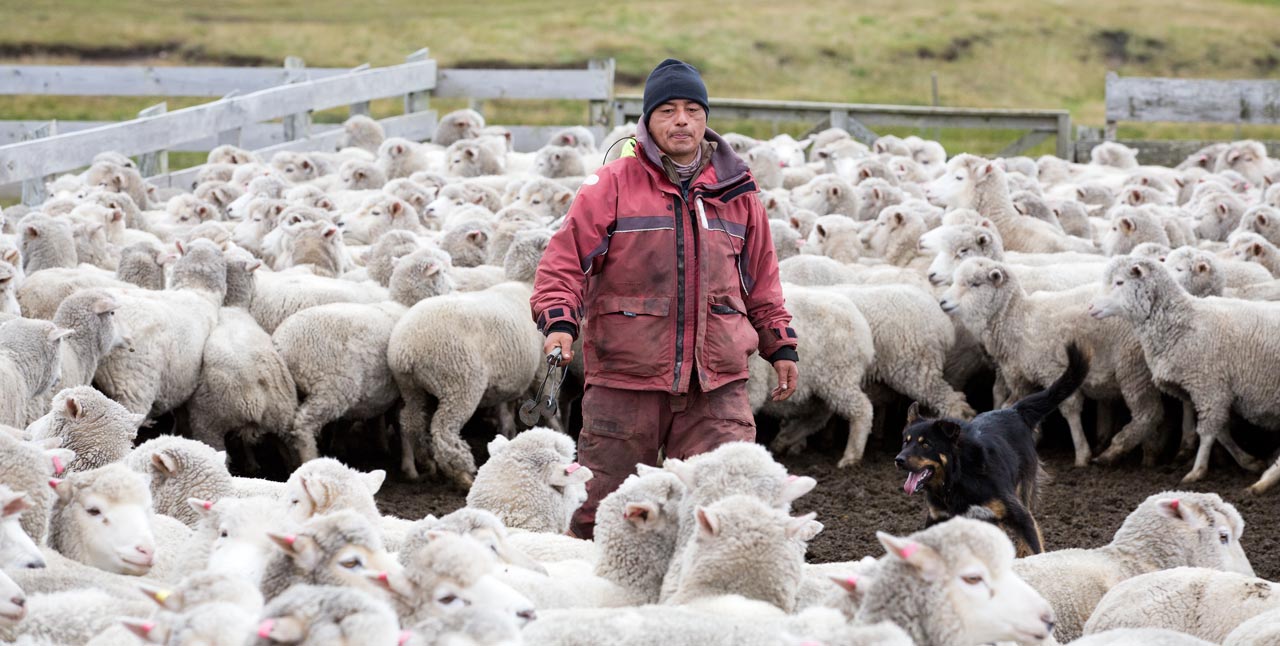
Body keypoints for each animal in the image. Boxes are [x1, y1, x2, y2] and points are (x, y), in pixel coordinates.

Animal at [389, 228, 550, 480]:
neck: (526, 285)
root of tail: (406, 351)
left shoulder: (511, 379)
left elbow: (506, 415)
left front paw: (508, 437)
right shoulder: (542, 368)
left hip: (412, 388)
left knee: (411, 421)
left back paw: (423, 461)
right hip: (460, 383)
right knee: (443, 430)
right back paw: (462, 472)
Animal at [896, 342, 1085, 555]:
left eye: (926, 444)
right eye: (906, 441)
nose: (898, 460)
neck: (958, 478)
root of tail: (1015, 410)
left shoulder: (1019, 514)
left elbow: (1034, 545)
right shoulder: (938, 518)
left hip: (1023, 488)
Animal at [1085, 254, 1280, 480]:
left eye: (1119, 282)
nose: (1090, 307)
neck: (1185, 321)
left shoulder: (1210, 388)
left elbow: (1208, 433)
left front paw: (1197, 471)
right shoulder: (1207, 391)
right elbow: (1222, 433)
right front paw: (1248, 461)